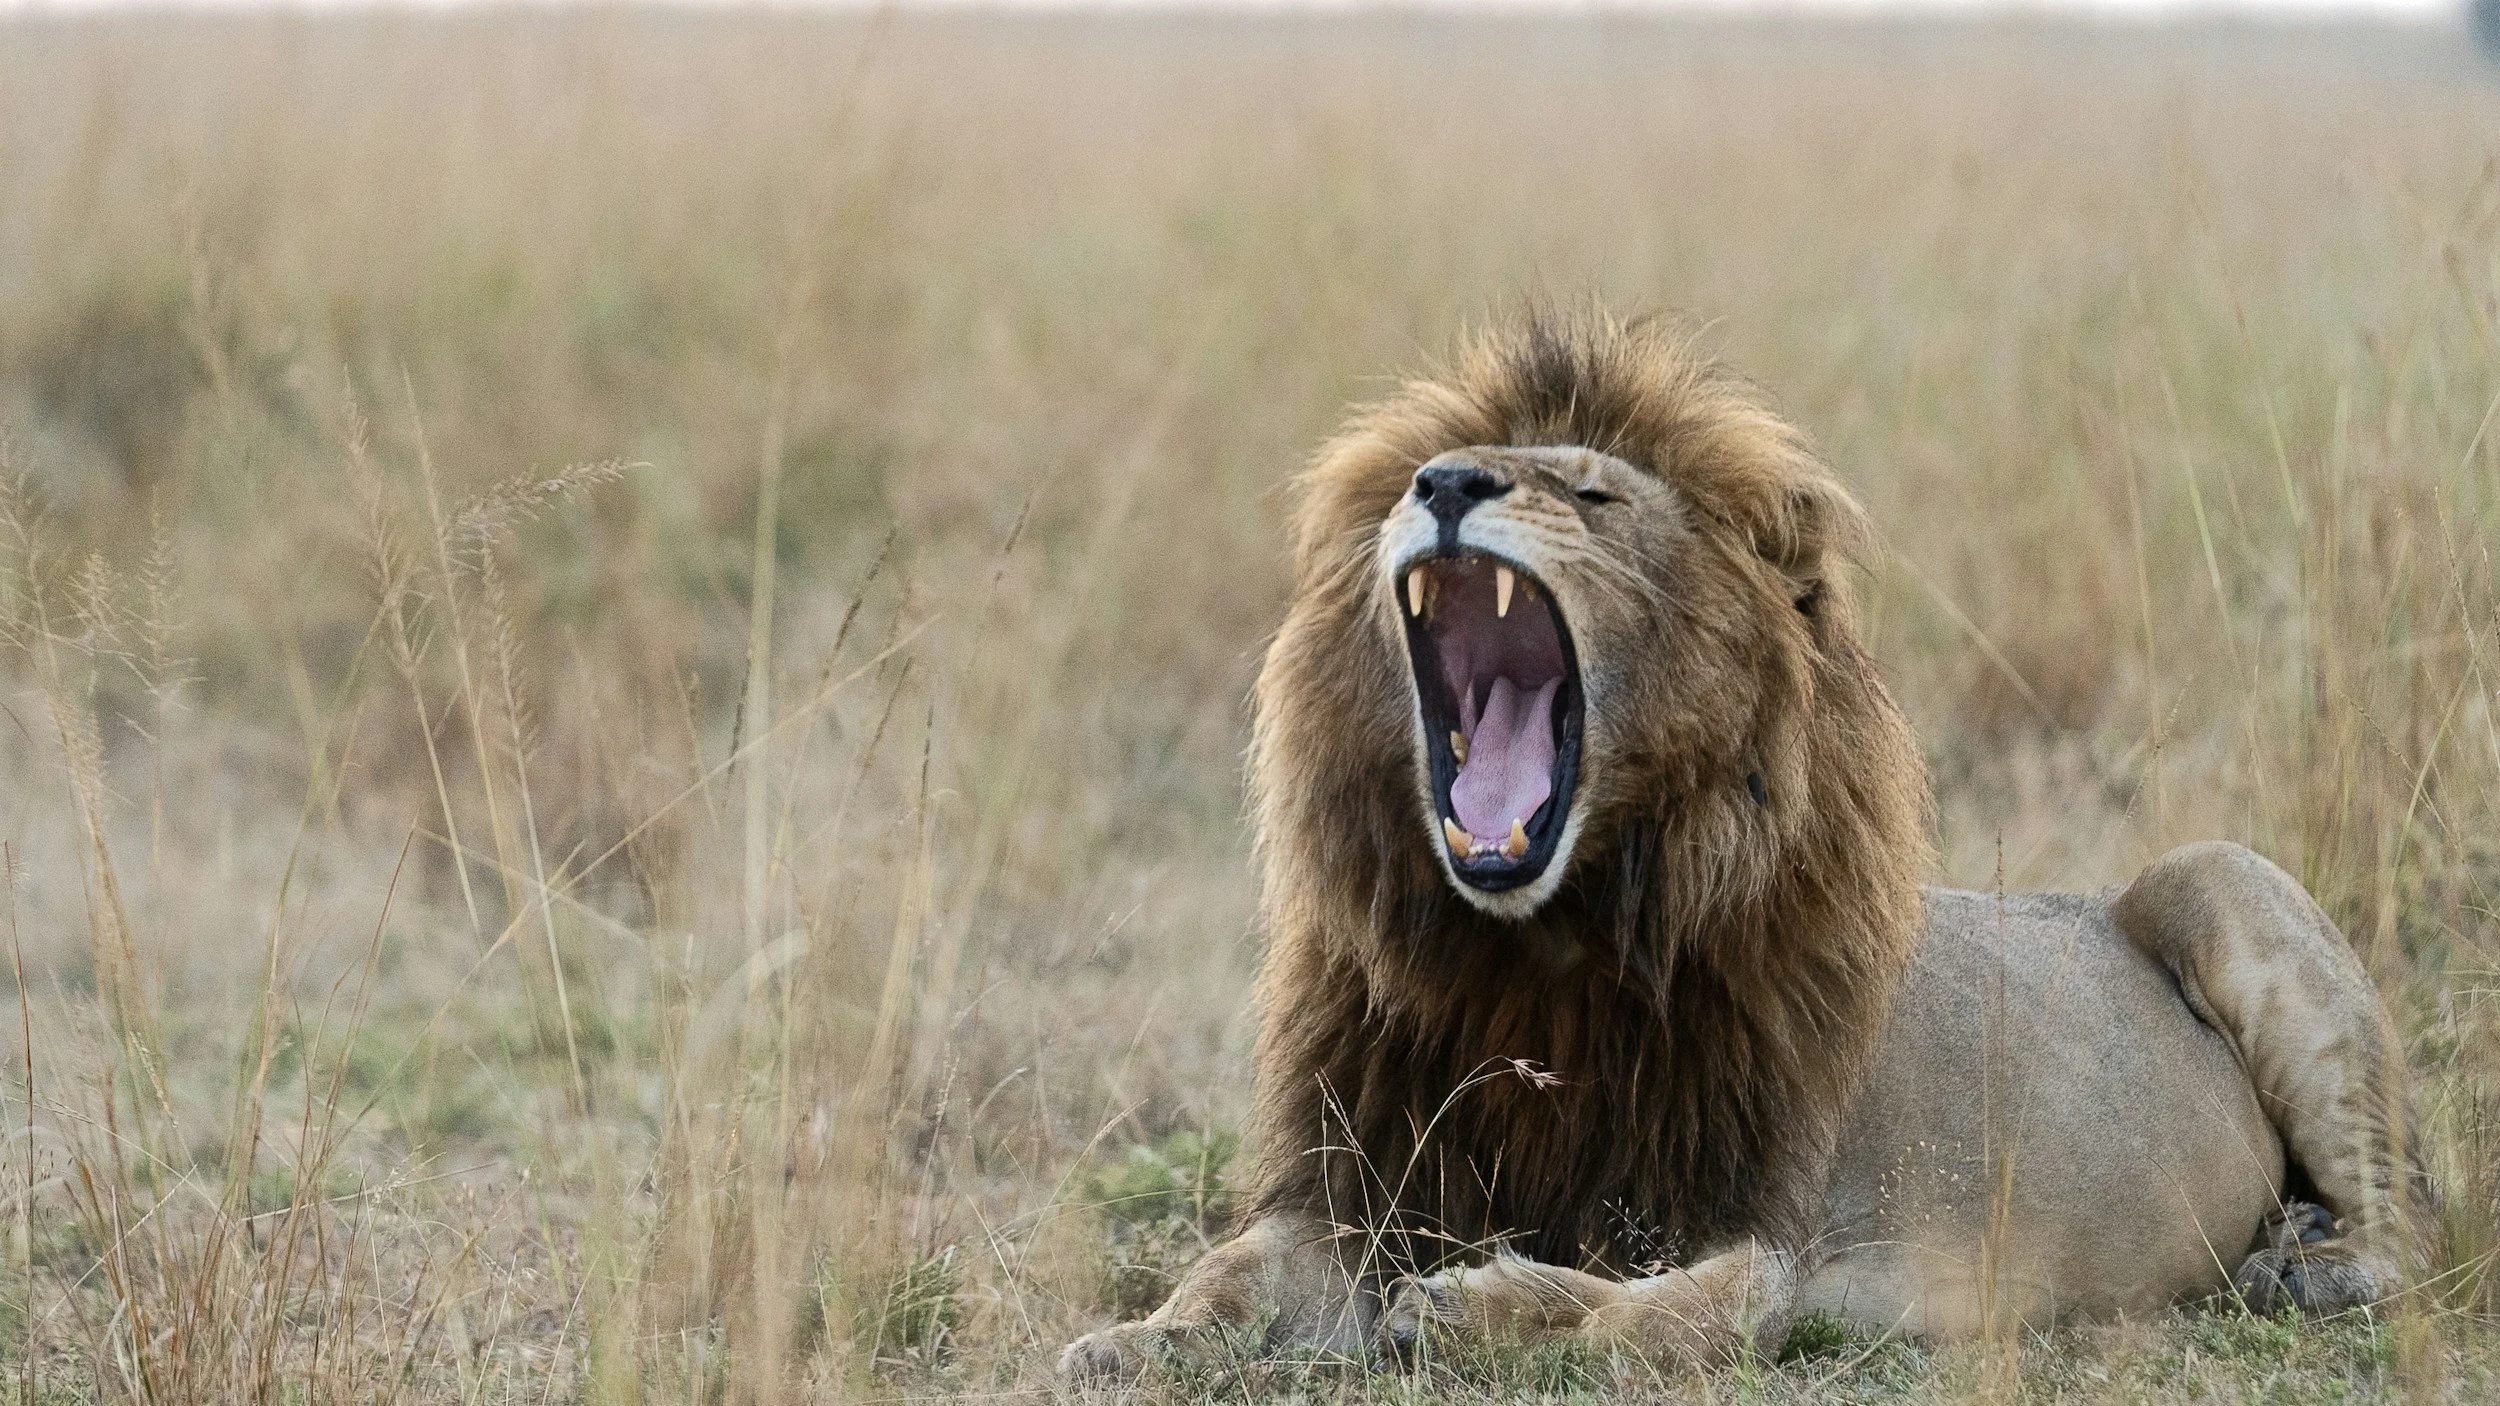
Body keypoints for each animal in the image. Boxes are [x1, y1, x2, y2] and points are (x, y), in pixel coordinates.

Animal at [1059, 307, 2425, 1382]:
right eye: (1417, 480)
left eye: (1591, 491)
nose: (1443, 484)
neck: (1536, 958)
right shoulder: (1370, 1176)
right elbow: (1230, 1268)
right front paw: (1137, 1338)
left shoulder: (1783, 1231)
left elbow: (1683, 1318)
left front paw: (1473, 1313)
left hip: (2226, 880)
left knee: (2418, 1212)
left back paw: (2308, 1263)